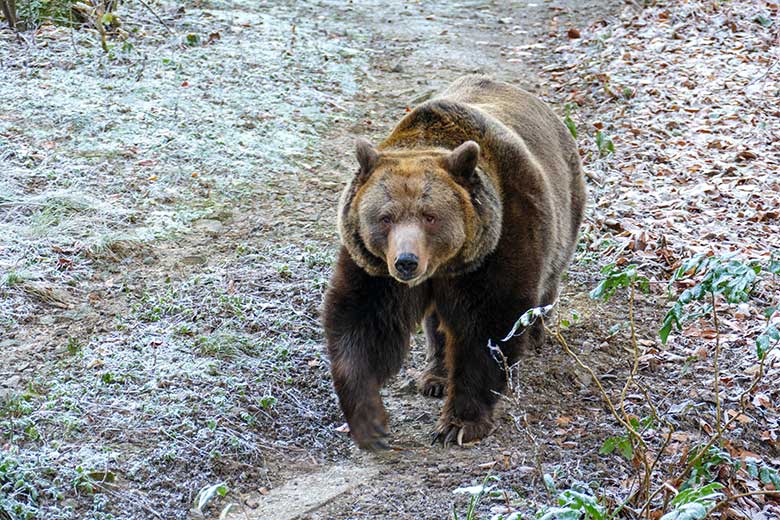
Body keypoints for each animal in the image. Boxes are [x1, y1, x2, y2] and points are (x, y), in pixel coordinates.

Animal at [322, 75, 584, 448]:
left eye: (429, 216)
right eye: (385, 218)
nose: (406, 261)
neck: (443, 265)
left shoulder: (498, 246)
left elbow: (487, 329)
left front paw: (459, 423)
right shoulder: (374, 267)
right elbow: (364, 324)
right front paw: (369, 419)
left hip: (563, 214)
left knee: (545, 285)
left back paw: (534, 335)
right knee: (436, 322)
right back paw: (434, 376)